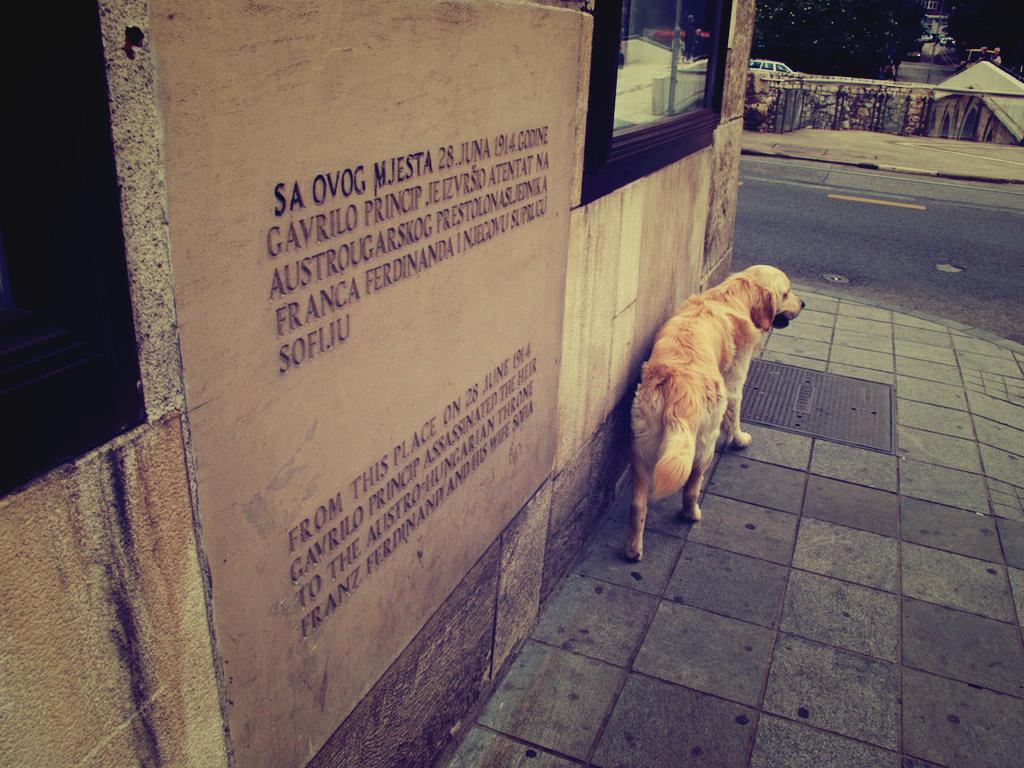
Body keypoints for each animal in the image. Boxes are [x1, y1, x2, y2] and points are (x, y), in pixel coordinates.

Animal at [624, 265, 804, 561]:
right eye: (787, 292)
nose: (803, 304)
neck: (733, 296)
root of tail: (681, 389)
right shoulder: (734, 381)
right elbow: (736, 411)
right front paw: (739, 439)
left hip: (641, 447)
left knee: (638, 504)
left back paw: (632, 549)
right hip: (704, 443)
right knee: (691, 486)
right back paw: (691, 514)